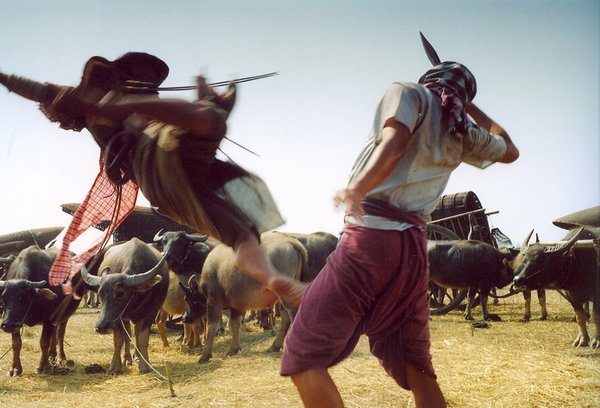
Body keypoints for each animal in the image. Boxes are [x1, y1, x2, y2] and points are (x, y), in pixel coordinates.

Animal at [0, 245, 82, 376]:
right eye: (3, 297)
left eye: (22, 297)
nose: (6, 325)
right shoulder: (15, 323)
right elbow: (16, 344)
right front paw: (15, 368)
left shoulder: (49, 318)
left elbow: (44, 342)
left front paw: (43, 366)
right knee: (54, 335)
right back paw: (51, 356)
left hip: (64, 314)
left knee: (60, 334)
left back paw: (61, 358)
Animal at [80, 238, 170, 373]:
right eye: (100, 293)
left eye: (120, 293)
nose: (101, 327)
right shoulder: (117, 318)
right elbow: (119, 340)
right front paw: (115, 366)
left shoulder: (150, 313)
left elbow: (143, 339)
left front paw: (145, 364)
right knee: (128, 335)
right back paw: (127, 358)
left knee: (136, 333)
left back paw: (137, 356)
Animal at [180, 231, 307, 363]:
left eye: (190, 300)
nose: (184, 318)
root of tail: (289, 241)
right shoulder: (236, 305)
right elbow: (234, 324)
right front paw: (233, 349)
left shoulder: (213, 302)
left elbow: (212, 327)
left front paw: (205, 356)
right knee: (286, 316)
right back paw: (275, 346)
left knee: (292, 312)